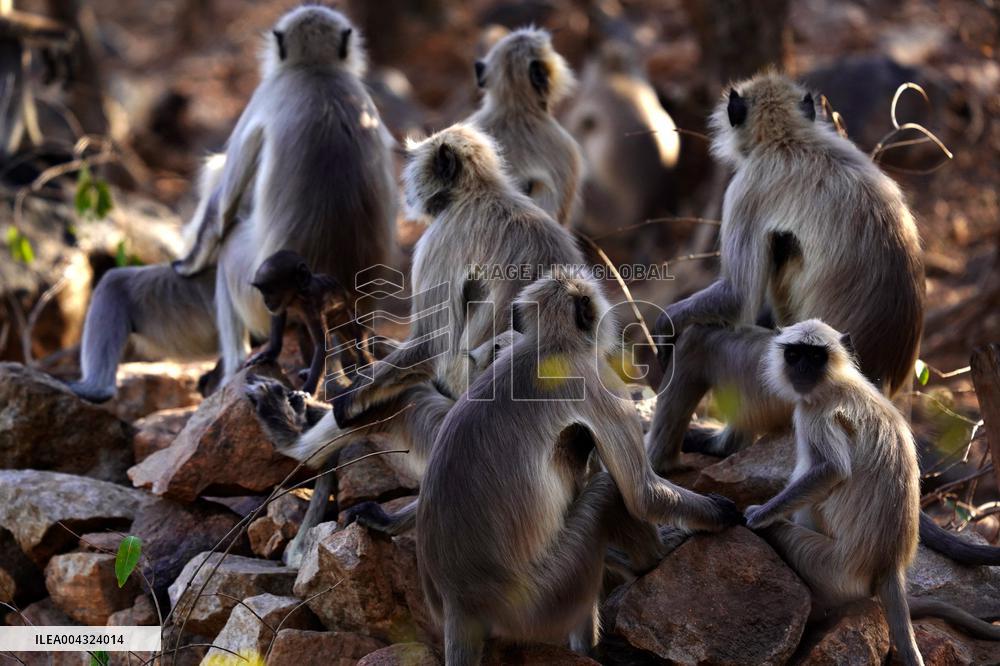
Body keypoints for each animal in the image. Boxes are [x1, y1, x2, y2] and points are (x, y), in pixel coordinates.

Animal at [248, 249, 372, 395]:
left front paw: (307, 390)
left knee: (358, 335)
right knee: (303, 330)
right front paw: (269, 353)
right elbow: (278, 317)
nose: (265, 301)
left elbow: (322, 345)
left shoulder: (312, 308)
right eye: (262, 291)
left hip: (348, 317)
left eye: (270, 291)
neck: (297, 298)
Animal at [417, 272, 743, 664]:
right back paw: (647, 562)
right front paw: (719, 513)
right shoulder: (598, 379)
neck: (549, 346)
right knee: (605, 490)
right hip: (549, 597)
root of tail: (459, 602)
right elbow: (642, 494)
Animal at [647, 70, 924, 467]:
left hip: (776, 380)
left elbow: (736, 297)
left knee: (701, 341)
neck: (789, 138)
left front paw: (666, 323)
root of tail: (876, 380)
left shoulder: (746, 186)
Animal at [745, 320, 1000, 666]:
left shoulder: (815, 412)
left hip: (829, 566)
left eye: (816, 356)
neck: (840, 381)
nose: (803, 369)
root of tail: (890, 566)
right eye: (795, 354)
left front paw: (757, 515)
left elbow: (833, 470)